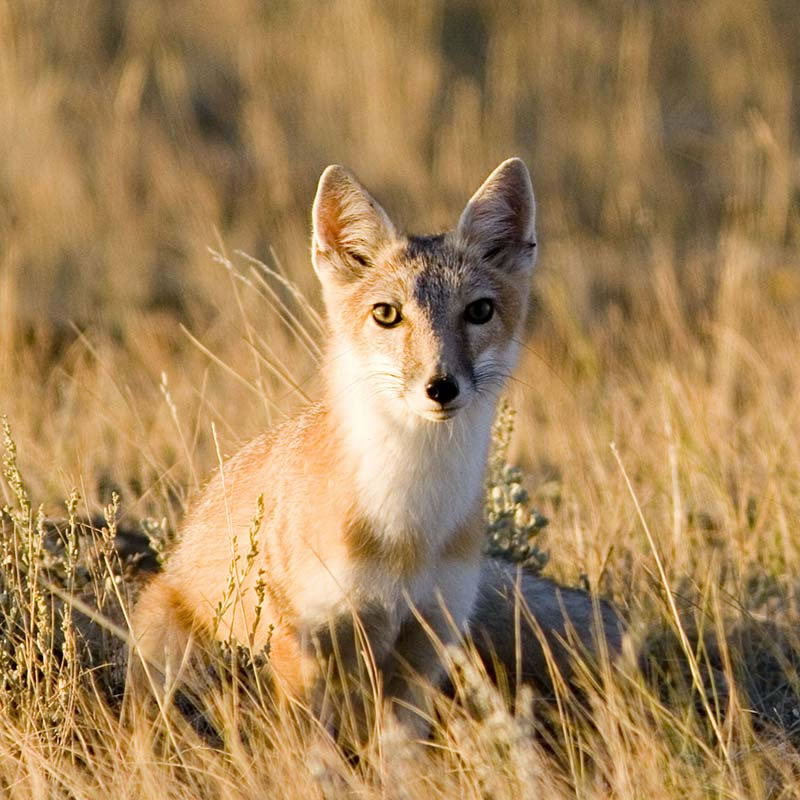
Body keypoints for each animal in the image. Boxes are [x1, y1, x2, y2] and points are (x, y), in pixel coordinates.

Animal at [129, 158, 542, 738]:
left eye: (479, 311)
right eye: (387, 314)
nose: (441, 387)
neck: (408, 525)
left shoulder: (426, 642)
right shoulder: (305, 639)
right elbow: (314, 754)